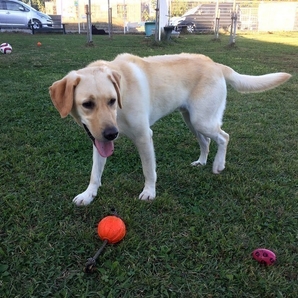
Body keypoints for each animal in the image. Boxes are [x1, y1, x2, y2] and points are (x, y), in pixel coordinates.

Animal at [49, 53, 292, 205]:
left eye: (111, 100)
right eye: (87, 104)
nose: (112, 133)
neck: (121, 103)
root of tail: (215, 64)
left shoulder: (144, 137)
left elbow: (149, 170)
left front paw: (149, 192)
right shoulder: (99, 141)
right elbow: (95, 173)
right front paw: (88, 195)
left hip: (202, 120)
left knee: (224, 136)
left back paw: (218, 165)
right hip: (191, 121)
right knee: (206, 142)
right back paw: (202, 161)